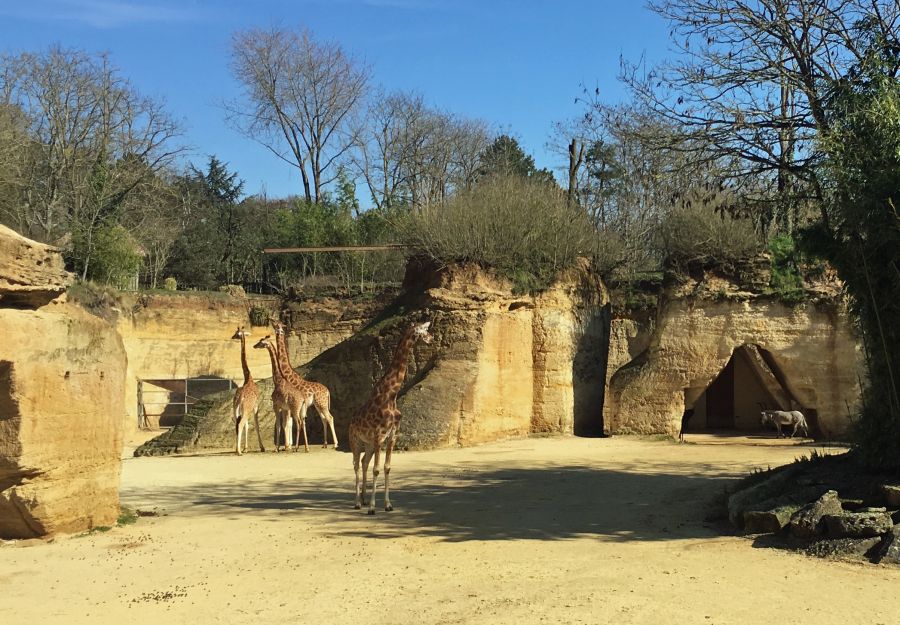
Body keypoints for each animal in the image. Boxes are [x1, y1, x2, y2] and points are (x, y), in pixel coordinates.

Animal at [229, 326, 264, 454]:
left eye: (236, 333)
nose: (232, 337)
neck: (248, 378)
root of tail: (240, 398)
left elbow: (248, 426)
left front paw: (246, 448)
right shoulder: (256, 406)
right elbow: (256, 425)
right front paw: (262, 447)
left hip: (235, 410)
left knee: (238, 424)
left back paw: (237, 449)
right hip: (245, 410)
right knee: (241, 424)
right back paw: (238, 451)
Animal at [268, 316, 340, 448]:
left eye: (276, 322)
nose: (270, 319)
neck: (288, 376)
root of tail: (327, 391)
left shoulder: (295, 405)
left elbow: (293, 422)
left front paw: (290, 445)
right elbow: (292, 422)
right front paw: (290, 445)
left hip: (321, 404)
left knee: (330, 418)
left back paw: (335, 444)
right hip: (318, 404)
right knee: (324, 419)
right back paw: (325, 444)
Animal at [348, 320, 432, 516]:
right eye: (425, 330)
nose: (432, 339)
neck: (390, 395)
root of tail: (350, 421)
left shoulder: (392, 437)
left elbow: (386, 468)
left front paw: (387, 505)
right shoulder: (379, 436)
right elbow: (377, 469)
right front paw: (372, 507)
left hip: (369, 444)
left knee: (363, 462)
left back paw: (363, 499)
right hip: (355, 441)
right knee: (356, 464)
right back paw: (357, 502)